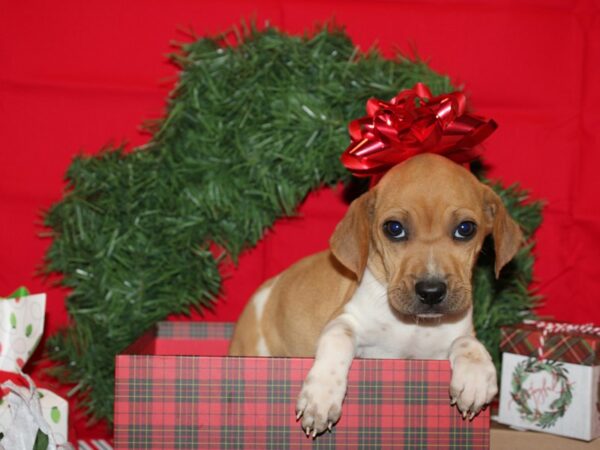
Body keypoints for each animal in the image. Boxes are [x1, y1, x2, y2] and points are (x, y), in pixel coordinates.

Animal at [227, 153, 524, 438]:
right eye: (394, 229)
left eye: (466, 229)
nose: (431, 291)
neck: (412, 326)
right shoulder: (346, 320)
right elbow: (338, 339)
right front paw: (321, 396)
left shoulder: (450, 339)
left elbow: (469, 343)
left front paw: (475, 377)